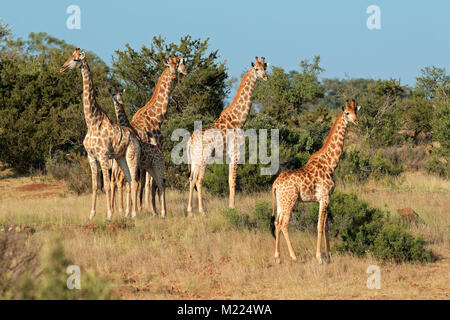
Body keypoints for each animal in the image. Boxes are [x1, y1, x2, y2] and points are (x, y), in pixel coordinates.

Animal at [59, 48, 141, 221]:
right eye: (70, 56)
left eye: (76, 59)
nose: (62, 68)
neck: (92, 123)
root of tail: (136, 137)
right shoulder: (91, 156)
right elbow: (95, 185)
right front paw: (91, 214)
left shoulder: (103, 156)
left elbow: (108, 185)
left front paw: (109, 215)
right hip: (121, 158)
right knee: (130, 181)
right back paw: (128, 215)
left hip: (132, 156)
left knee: (135, 182)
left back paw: (134, 214)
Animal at [109, 87, 167, 218]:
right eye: (113, 94)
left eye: (120, 94)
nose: (119, 101)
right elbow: (131, 184)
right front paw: (129, 211)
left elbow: (135, 184)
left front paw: (133, 211)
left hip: (155, 167)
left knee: (158, 184)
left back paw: (160, 212)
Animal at [185, 56, 268, 216]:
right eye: (256, 69)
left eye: (265, 68)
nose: (266, 77)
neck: (239, 120)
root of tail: (190, 141)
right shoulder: (235, 153)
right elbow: (233, 180)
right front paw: (232, 208)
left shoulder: (229, 155)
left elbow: (230, 179)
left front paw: (231, 206)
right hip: (204, 158)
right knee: (199, 180)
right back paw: (202, 211)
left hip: (195, 159)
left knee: (192, 178)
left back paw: (190, 211)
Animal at [268, 99, 360, 262]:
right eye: (347, 113)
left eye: (356, 111)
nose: (356, 121)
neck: (330, 164)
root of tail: (275, 185)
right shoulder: (324, 197)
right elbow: (319, 226)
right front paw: (319, 257)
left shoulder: (328, 197)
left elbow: (326, 226)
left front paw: (329, 255)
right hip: (290, 201)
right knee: (284, 224)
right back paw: (293, 255)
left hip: (281, 202)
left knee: (277, 222)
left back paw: (278, 257)